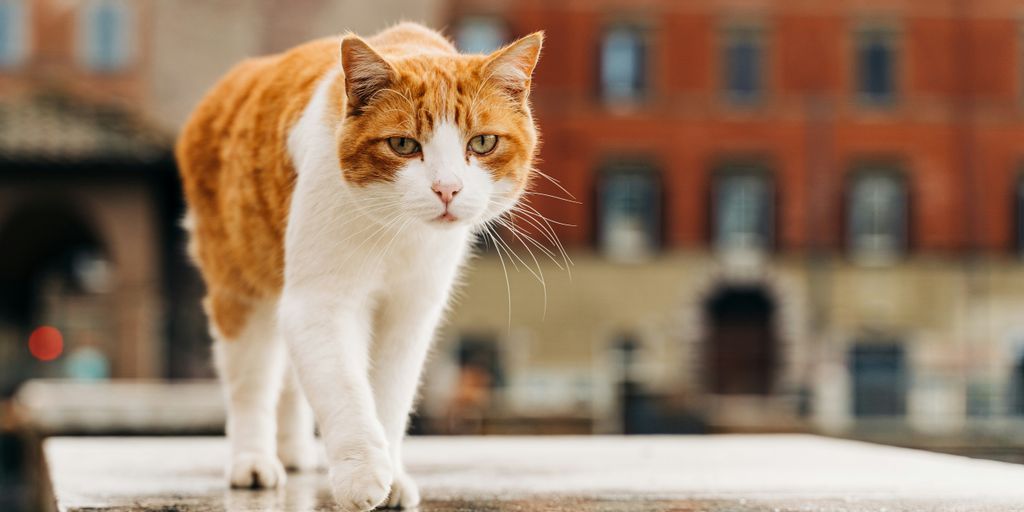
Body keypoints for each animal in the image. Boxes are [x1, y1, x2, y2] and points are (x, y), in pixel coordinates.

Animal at [176, 22, 544, 509]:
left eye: (482, 142)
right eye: (403, 144)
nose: (447, 189)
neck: (401, 235)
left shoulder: (410, 313)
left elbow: (389, 397)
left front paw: (392, 478)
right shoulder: (319, 304)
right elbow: (345, 390)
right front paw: (363, 474)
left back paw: (294, 452)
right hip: (241, 289)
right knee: (251, 386)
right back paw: (253, 462)